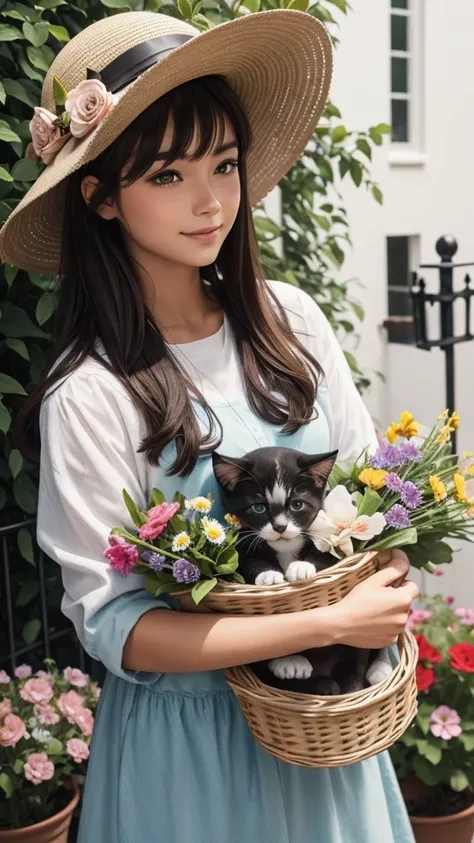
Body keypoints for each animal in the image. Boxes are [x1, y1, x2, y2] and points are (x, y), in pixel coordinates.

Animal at [213, 446, 390, 696]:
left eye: (297, 505)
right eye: (258, 507)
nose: (280, 527)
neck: (285, 546)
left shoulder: (330, 529)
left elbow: (329, 553)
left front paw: (302, 567)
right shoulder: (241, 542)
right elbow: (248, 562)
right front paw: (268, 575)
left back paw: (377, 671)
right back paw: (293, 666)